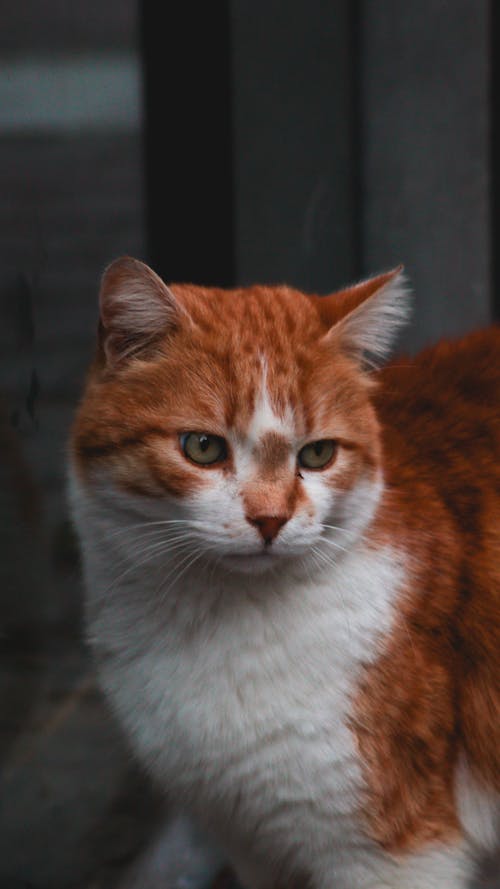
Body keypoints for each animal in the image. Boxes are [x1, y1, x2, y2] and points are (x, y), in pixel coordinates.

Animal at [68, 258, 498, 888]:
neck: (219, 626)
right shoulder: (252, 841)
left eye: (317, 454)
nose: (270, 518)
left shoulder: (397, 853)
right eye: (202, 447)